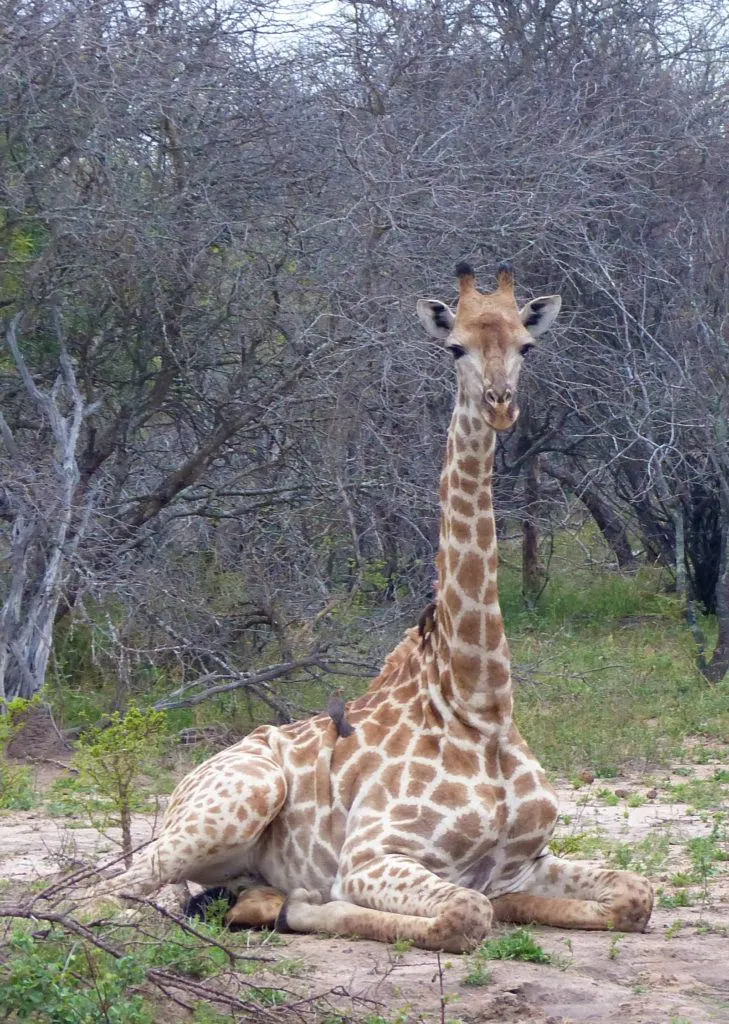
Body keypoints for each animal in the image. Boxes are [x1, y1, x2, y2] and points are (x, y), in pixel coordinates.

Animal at [81, 263, 653, 953]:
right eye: (454, 346)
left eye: (527, 346)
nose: (500, 405)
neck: (481, 707)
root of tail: (185, 783)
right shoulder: (370, 856)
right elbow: (467, 914)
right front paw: (313, 905)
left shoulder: (526, 861)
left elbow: (633, 896)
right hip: (241, 795)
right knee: (104, 899)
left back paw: (251, 900)